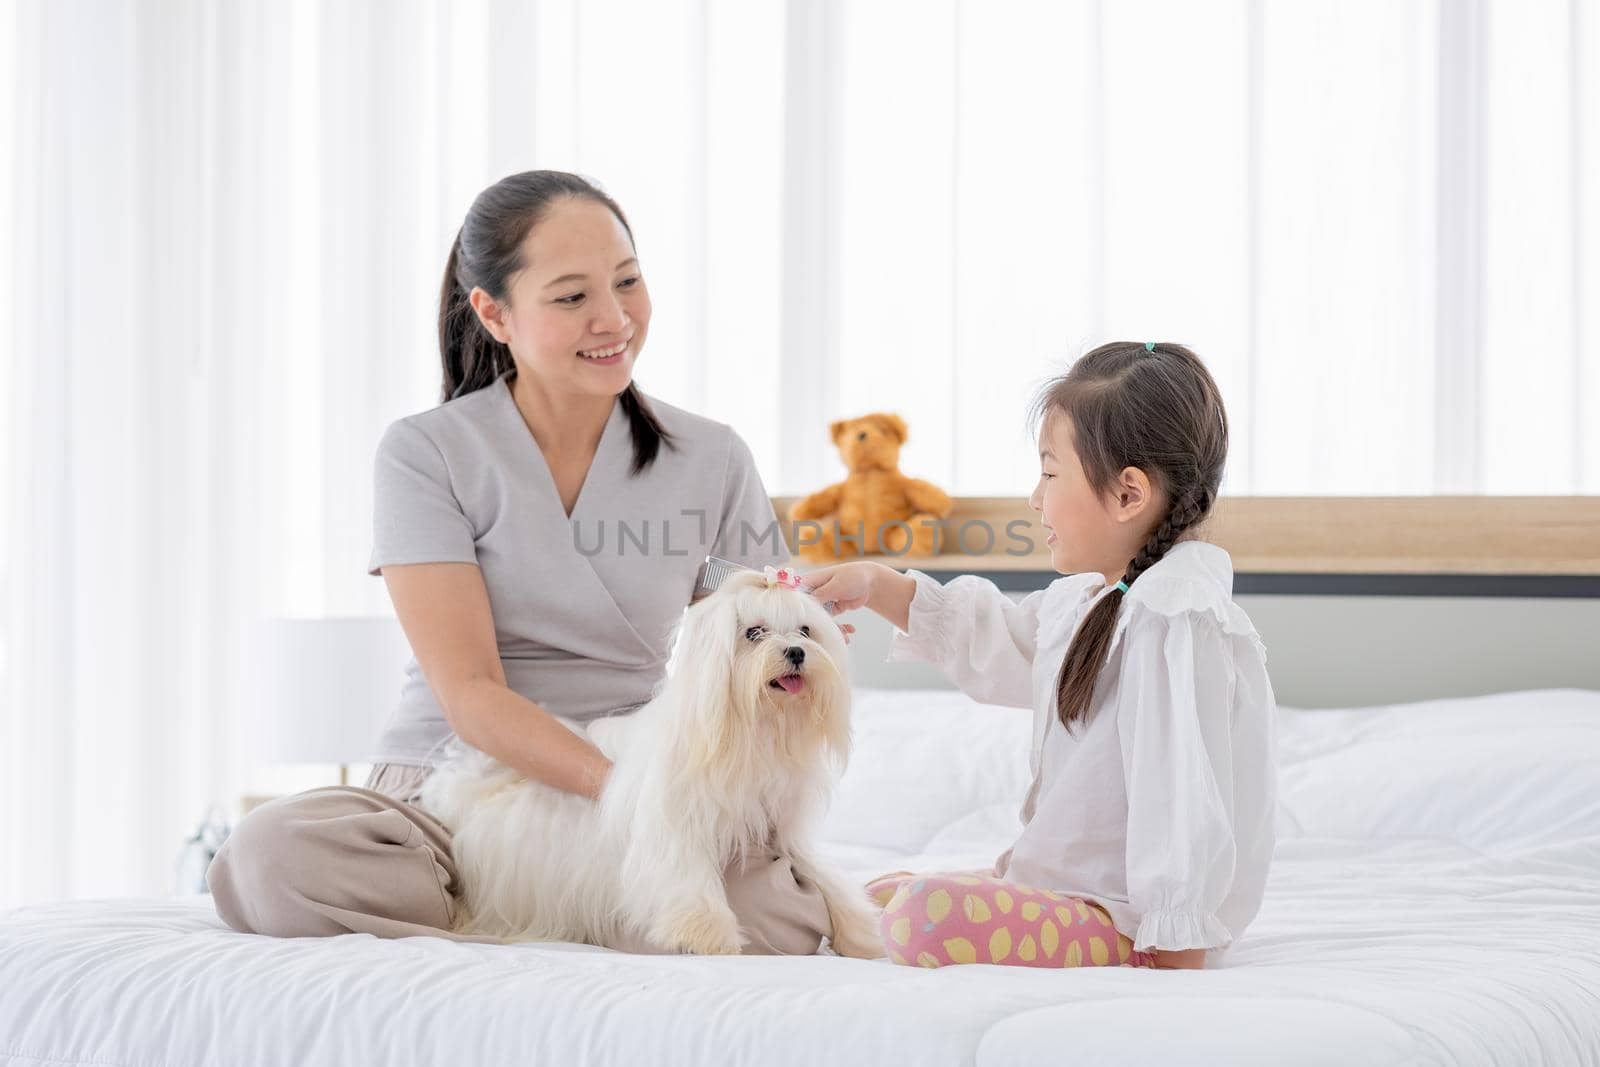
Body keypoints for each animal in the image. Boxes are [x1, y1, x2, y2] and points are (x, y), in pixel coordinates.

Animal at [419, 572, 883, 966]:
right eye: (754, 633)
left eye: (805, 631)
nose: (797, 652)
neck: (755, 729)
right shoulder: (675, 822)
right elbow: (687, 874)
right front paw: (708, 934)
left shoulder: (783, 826)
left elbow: (823, 873)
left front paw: (861, 931)